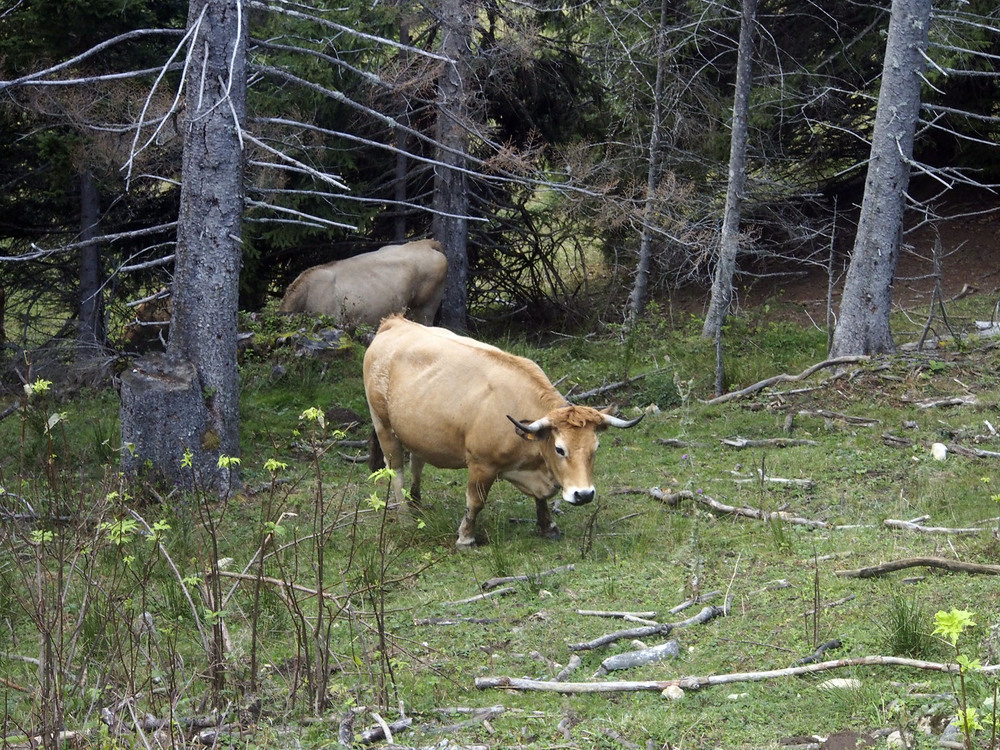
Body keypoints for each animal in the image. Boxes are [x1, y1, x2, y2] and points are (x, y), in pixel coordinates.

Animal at [364, 314, 644, 548]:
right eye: (559, 449)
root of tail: (395, 322)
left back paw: (417, 503)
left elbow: (541, 499)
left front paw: (548, 526)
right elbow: (475, 502)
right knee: (396, 470)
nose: (584, 495)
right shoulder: (481, 465)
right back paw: (405, 517)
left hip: (416, 432)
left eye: (595, 448)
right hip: (383, 425)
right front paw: (466, 537)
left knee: (417, 463)